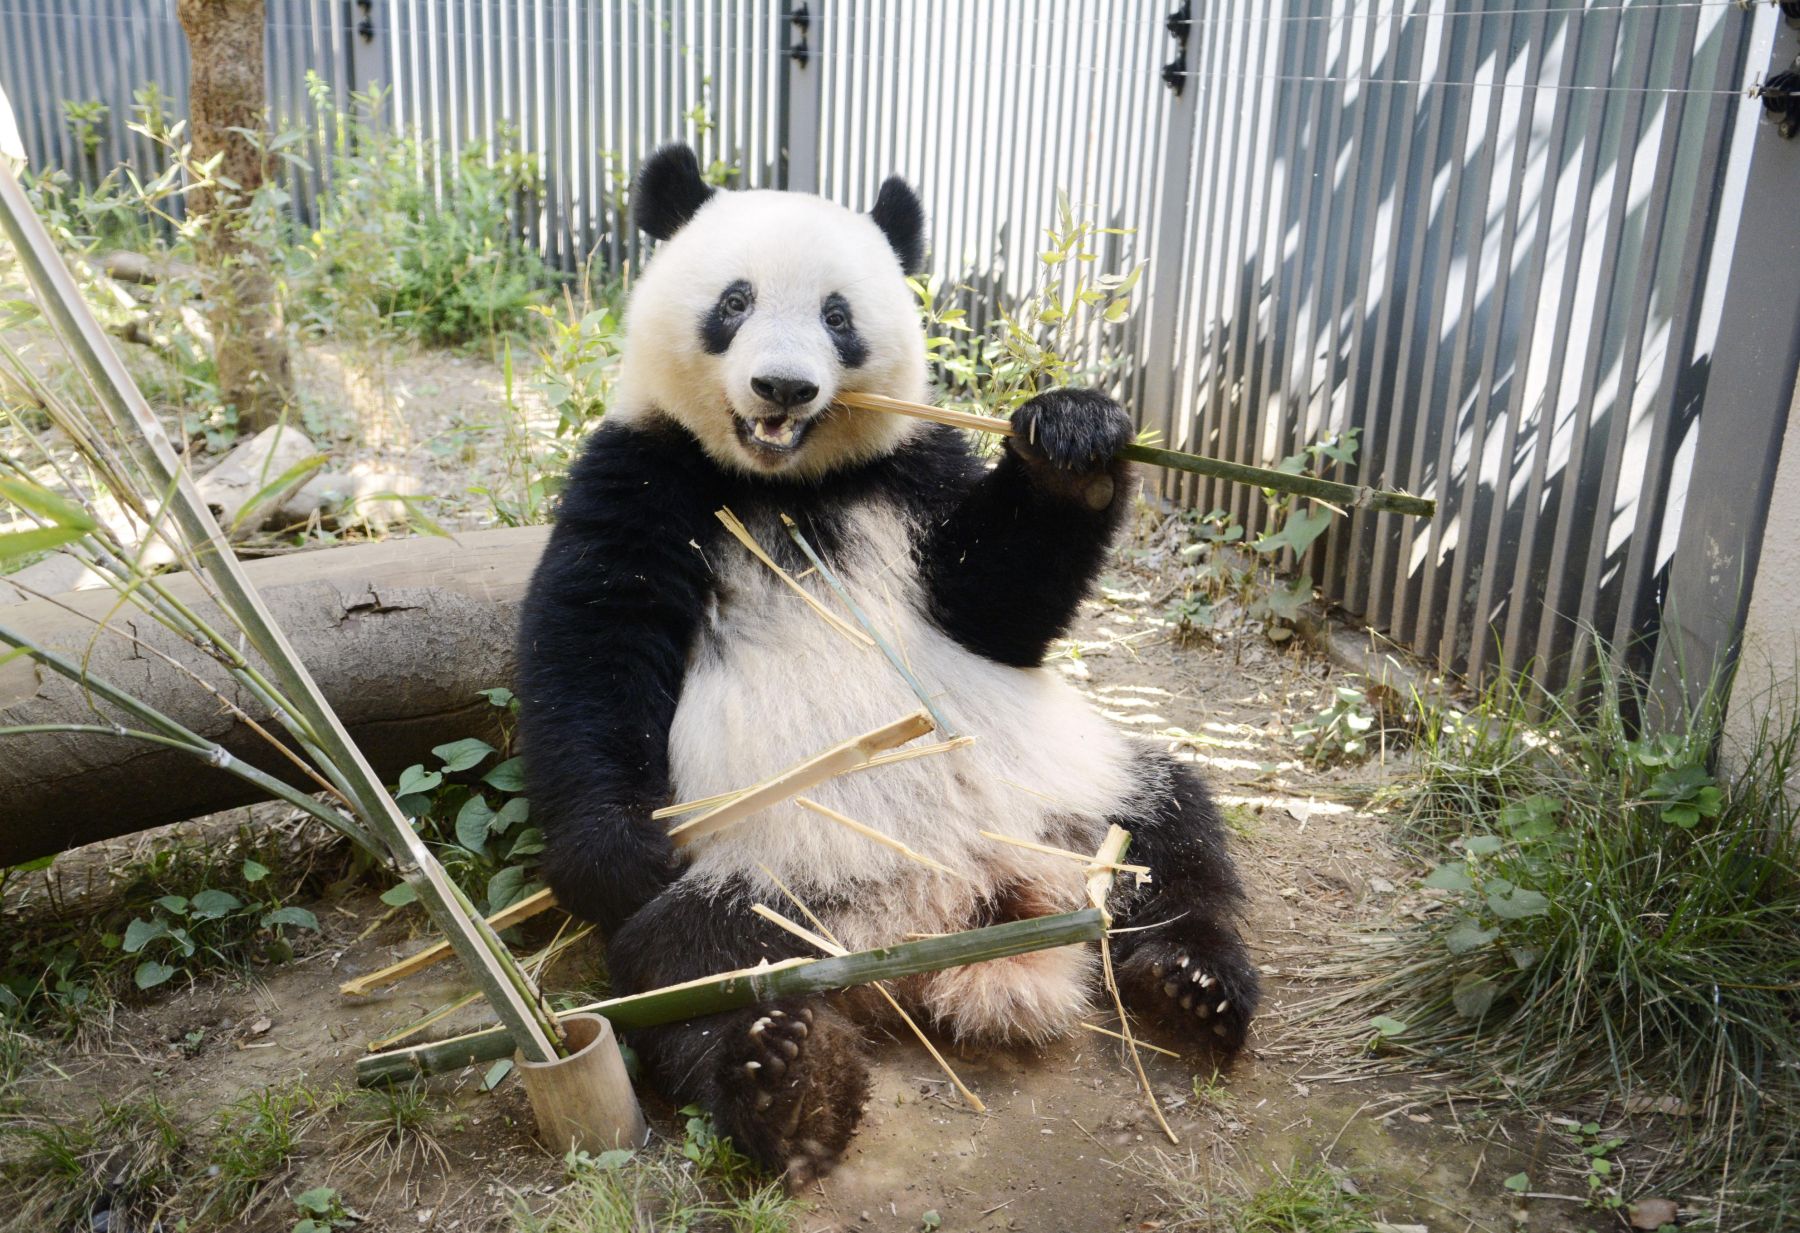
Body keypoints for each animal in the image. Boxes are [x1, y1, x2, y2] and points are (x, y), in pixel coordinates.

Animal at [514, 146, 1260, 1180]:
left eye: (838, 315)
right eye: (735, 300)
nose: (783, 387)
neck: (785, 482)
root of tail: (943, 916)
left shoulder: (917, 468)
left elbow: (996, 608)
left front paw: (1073, 442)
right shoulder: (642, 470)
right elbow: (593, 645)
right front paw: (615, 850)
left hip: (1077, 791)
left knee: (1173, 834)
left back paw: (1192, 983)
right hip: (769, 875)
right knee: (687, 969)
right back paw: (789, 1084)